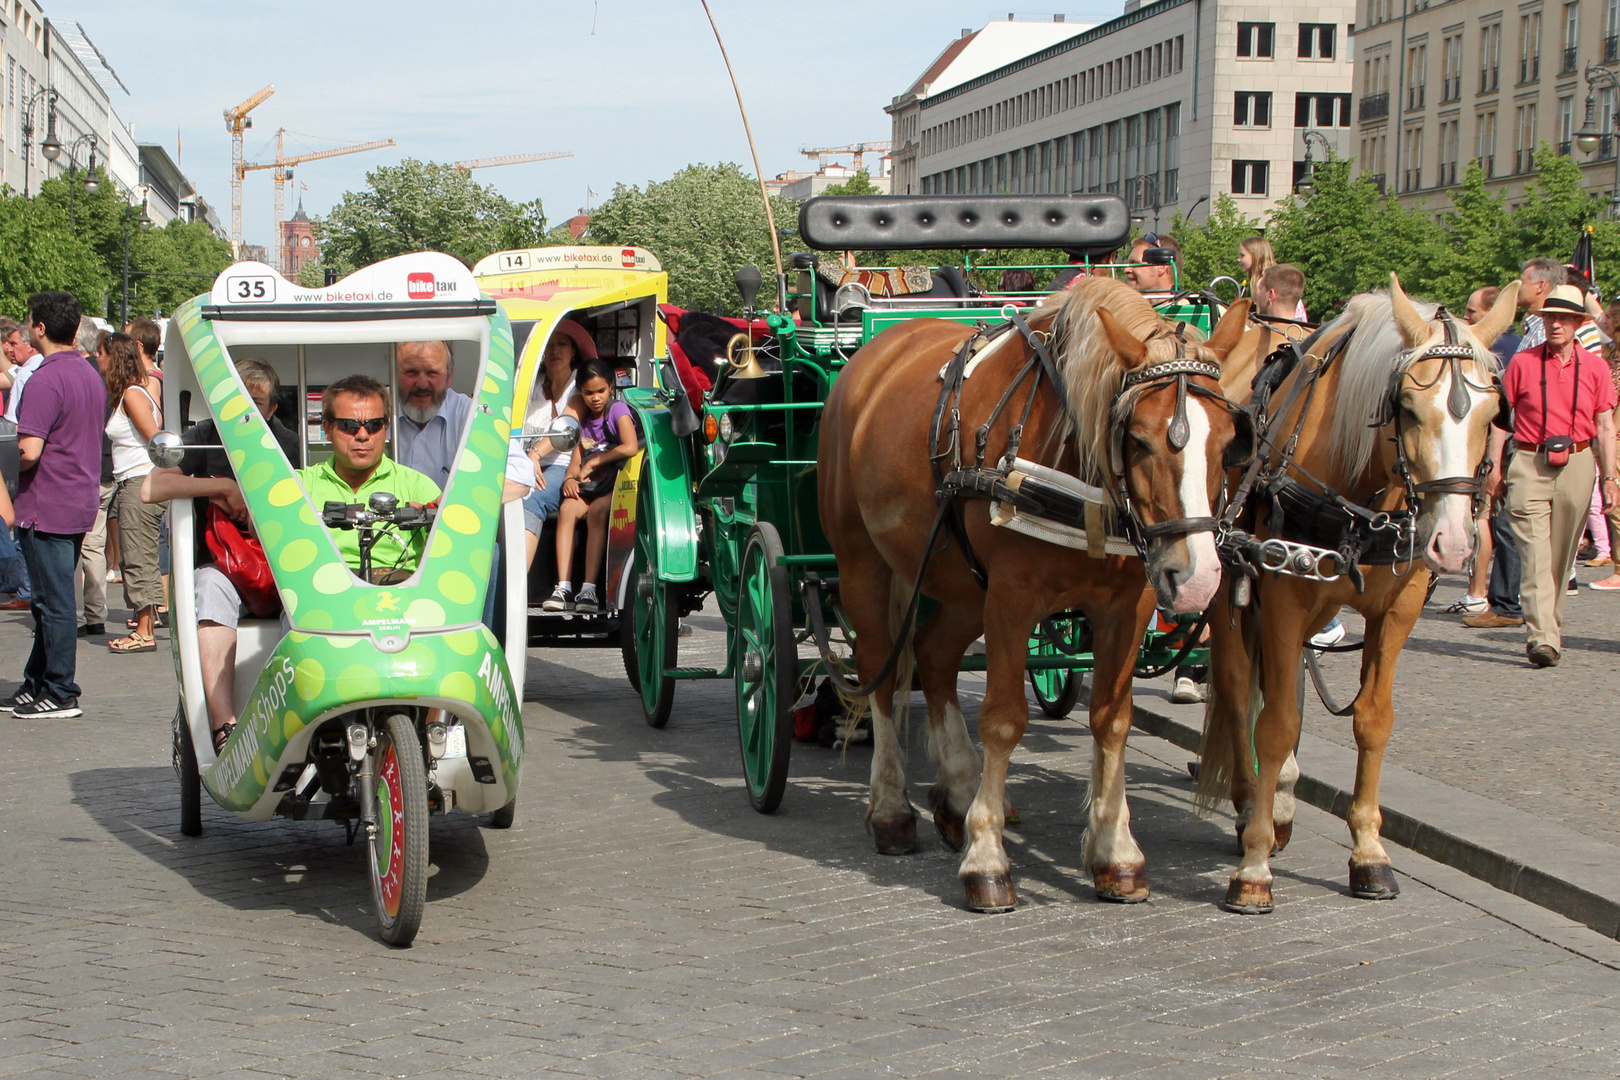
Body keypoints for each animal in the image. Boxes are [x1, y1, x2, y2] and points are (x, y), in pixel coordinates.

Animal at [822, 278, 1250, 913]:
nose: (1196, 578)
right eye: (1139, 441)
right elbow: (1003, 720)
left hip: (961, 586)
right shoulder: (1013, 598)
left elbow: (1112, 720)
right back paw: (893, 810)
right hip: (864, 566)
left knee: (934, 657)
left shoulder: (1127, 607)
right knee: (882, 667)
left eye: (1227, 443)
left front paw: (1115, 853)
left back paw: (957, 793)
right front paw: (987, 859)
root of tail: (877, 350)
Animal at [1192, 276, 1516, 913]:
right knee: (1240, 691)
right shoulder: (1285, 598)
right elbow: (1276, 724)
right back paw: (1249, 806)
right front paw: (1254, 867)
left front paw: (1369, 852)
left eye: (1494, 413)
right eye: (1407, 408)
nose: (1454, 543)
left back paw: (1281, 799)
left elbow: (1372, 720)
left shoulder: (1399, 609)